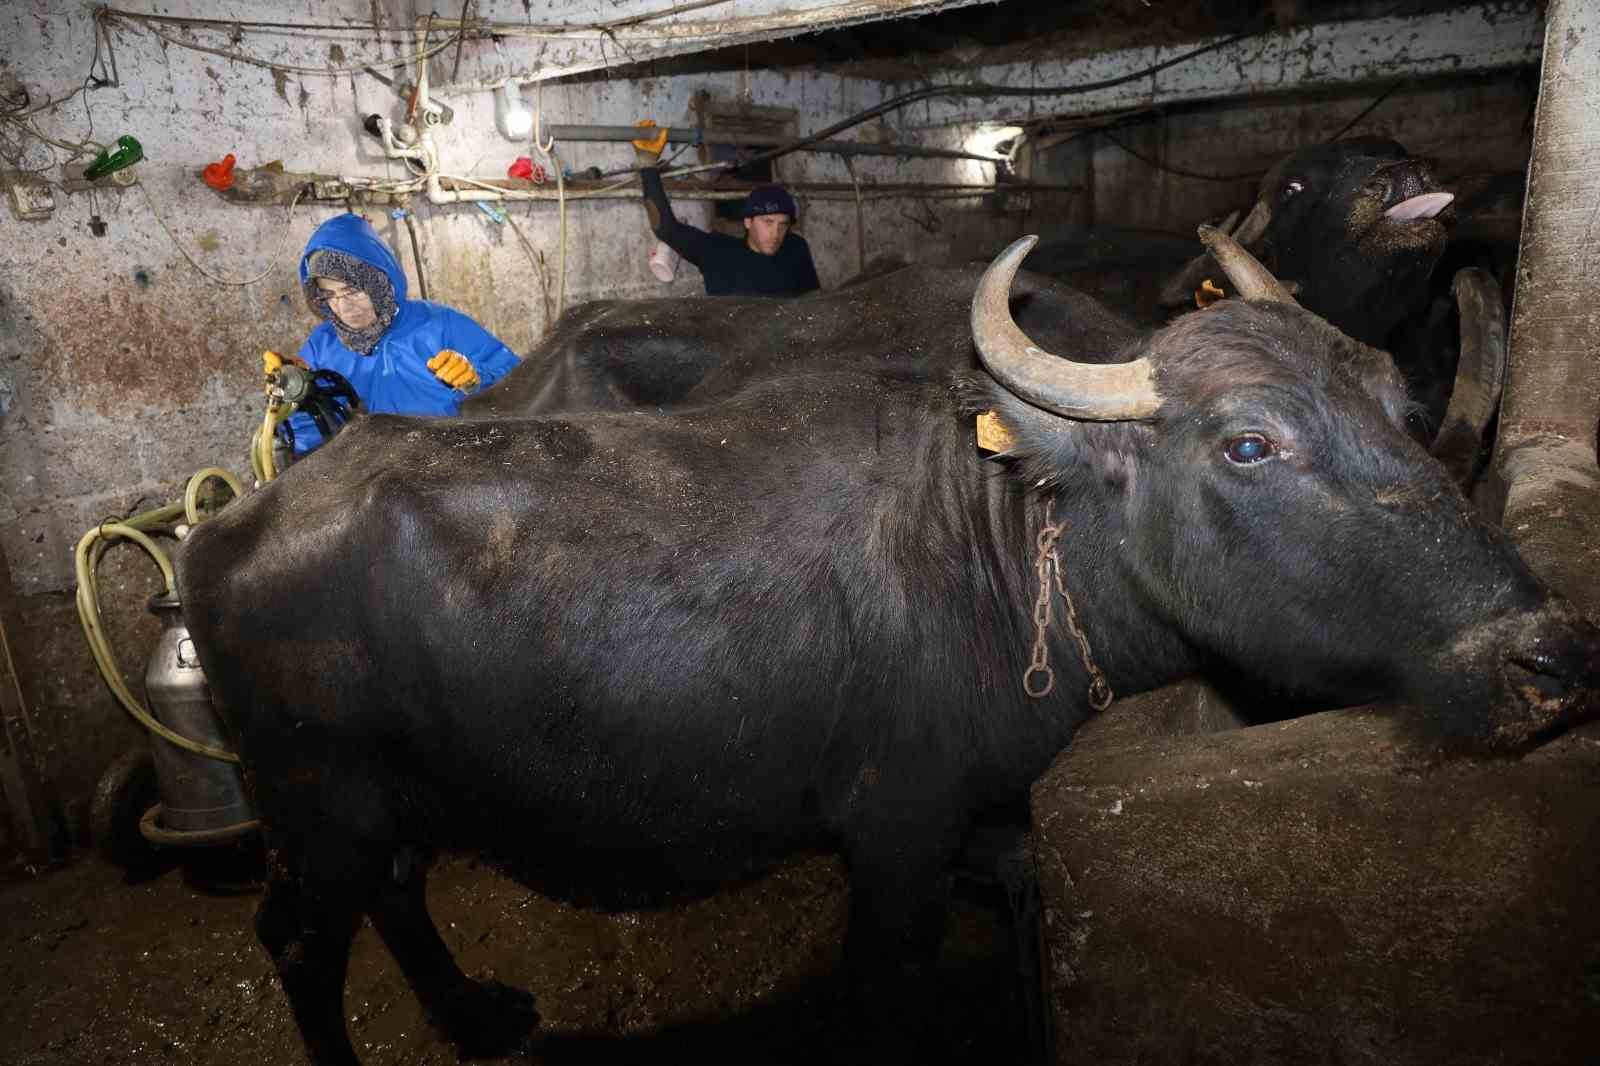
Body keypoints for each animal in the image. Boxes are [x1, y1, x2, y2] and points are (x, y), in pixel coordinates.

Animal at [175, 235, 1600, 1062]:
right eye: (1249, 443)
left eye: (1397, 401)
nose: (1546, 655)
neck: (1002, 543)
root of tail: (228, 528)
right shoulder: (896, 832)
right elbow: (891, 991)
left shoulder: (1000, 808)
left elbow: (1027, 907)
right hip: (318, 806)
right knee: (299, 941)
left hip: (396, 798)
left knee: (397, 897)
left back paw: (476, 1018)